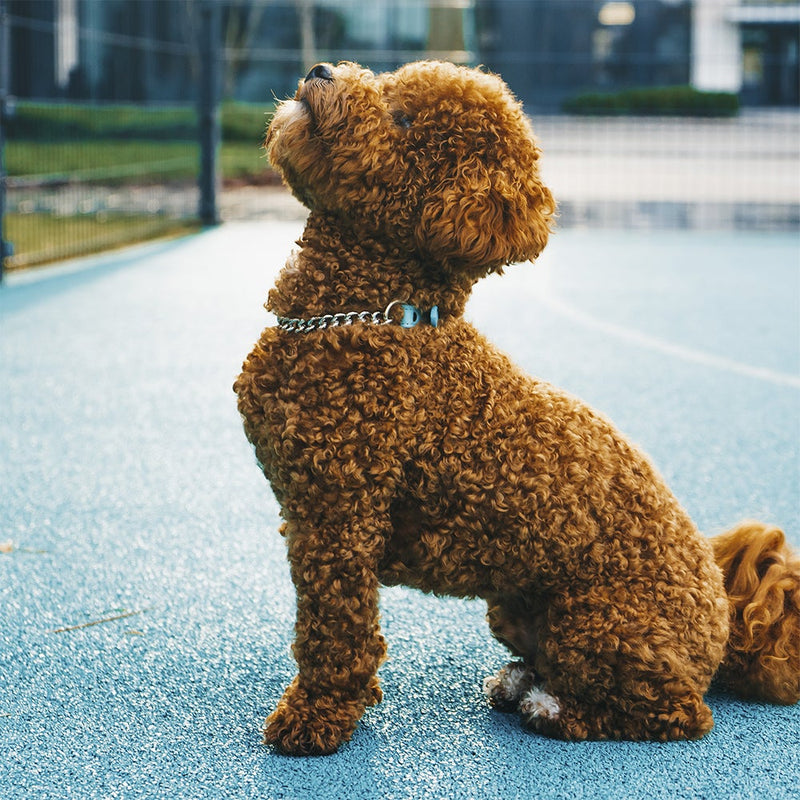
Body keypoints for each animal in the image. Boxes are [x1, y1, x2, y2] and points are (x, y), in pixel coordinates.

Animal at [236, 59, 800, 752]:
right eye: (390, 83)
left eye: (402, 117)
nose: (319, 69)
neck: (373, 319)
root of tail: (723, 615)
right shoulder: (313, 514)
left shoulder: (339, 515)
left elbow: (334, 633)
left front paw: (315, 717)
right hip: (514, 604)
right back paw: (522, 681)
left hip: (602, 622)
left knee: (674, 714)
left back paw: (553, 709)